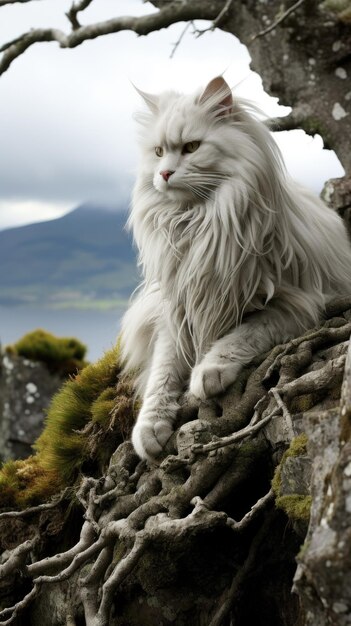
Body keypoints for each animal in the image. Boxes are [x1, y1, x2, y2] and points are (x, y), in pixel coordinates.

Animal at [121, 75, 351, 460]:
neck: (199, 225)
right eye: (158, 152)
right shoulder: (177, 312)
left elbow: (244, 334)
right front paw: (149, 428)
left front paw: (208, 372)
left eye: (191, 147)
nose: (164, 173)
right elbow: (162, 374)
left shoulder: (297, 303)